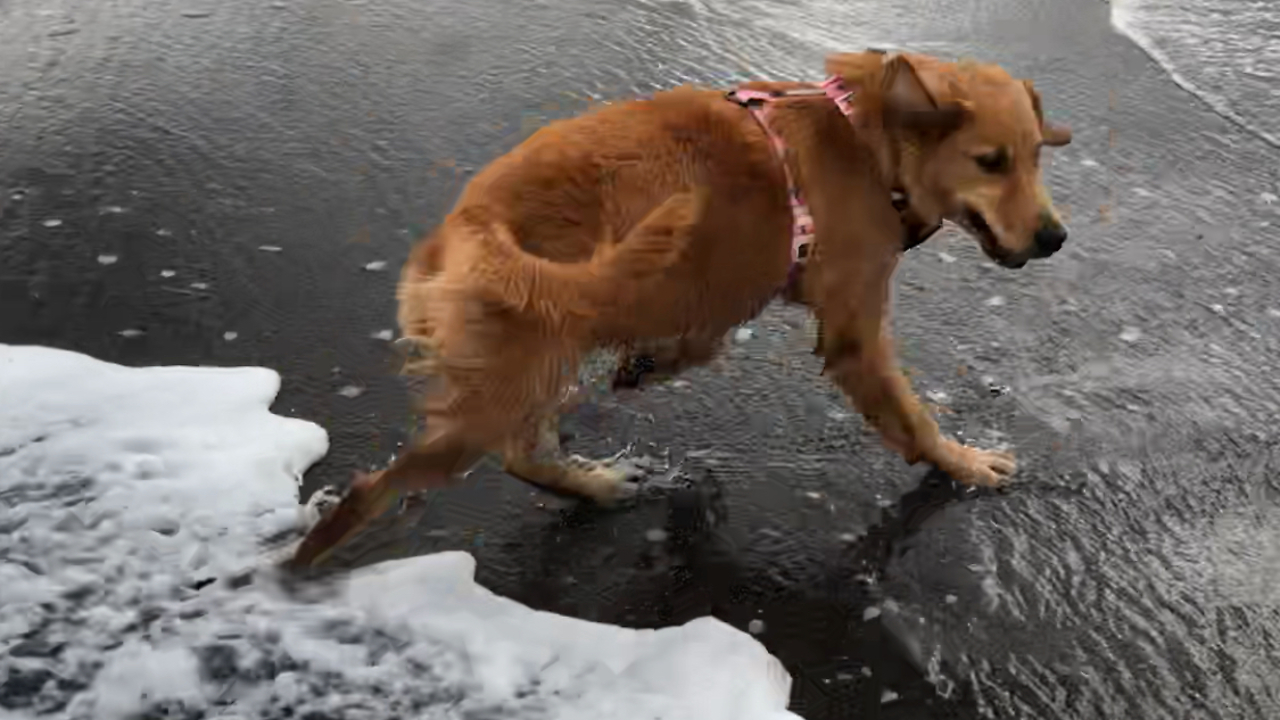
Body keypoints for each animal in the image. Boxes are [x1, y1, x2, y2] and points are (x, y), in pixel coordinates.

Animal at [290, 50, 1070, 566]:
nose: (1055, 238)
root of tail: (470, 227)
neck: (864, 138)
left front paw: (651, 363)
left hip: (541, 361)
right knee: (376, 487)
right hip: (498, 390)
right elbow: (914, 421)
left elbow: (699, 340)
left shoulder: (718, 285)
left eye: (1037, 154)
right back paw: (299, 572)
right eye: (991, 161)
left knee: (523, 452)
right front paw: (963, 464)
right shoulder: (854, 331)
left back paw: (597, 485)